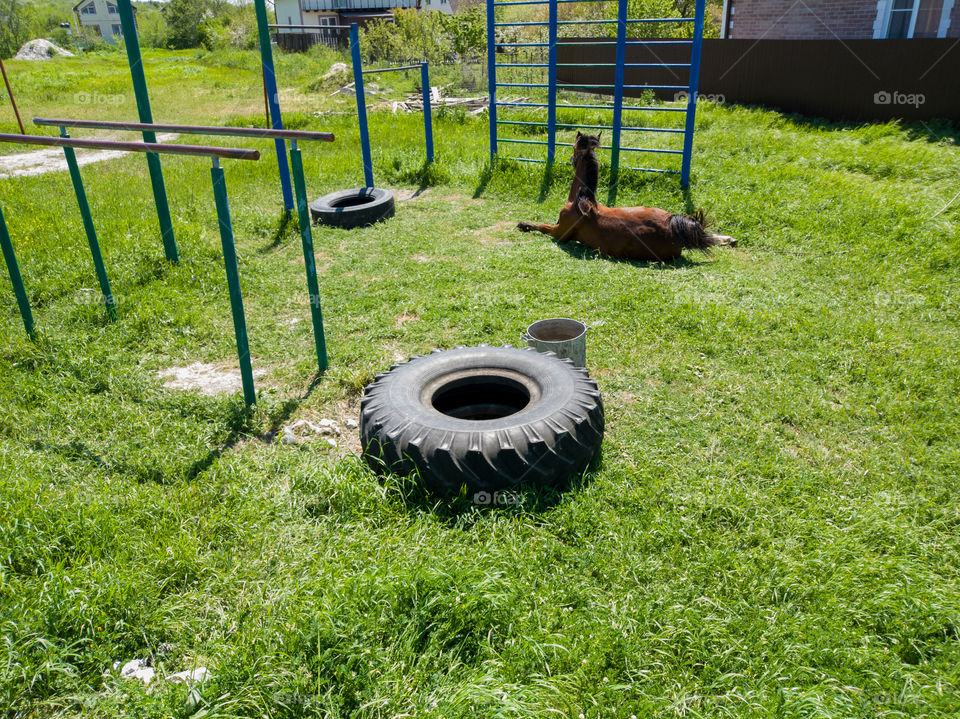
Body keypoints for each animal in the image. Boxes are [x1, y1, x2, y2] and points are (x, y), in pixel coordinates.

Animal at [517, 132, 735, 262]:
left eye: (573, 148)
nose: (570, 158)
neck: (581, 201)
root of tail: (673, 228)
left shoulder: (559, 233)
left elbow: (541, 226)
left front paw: (523, 224)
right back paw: (728, 239)